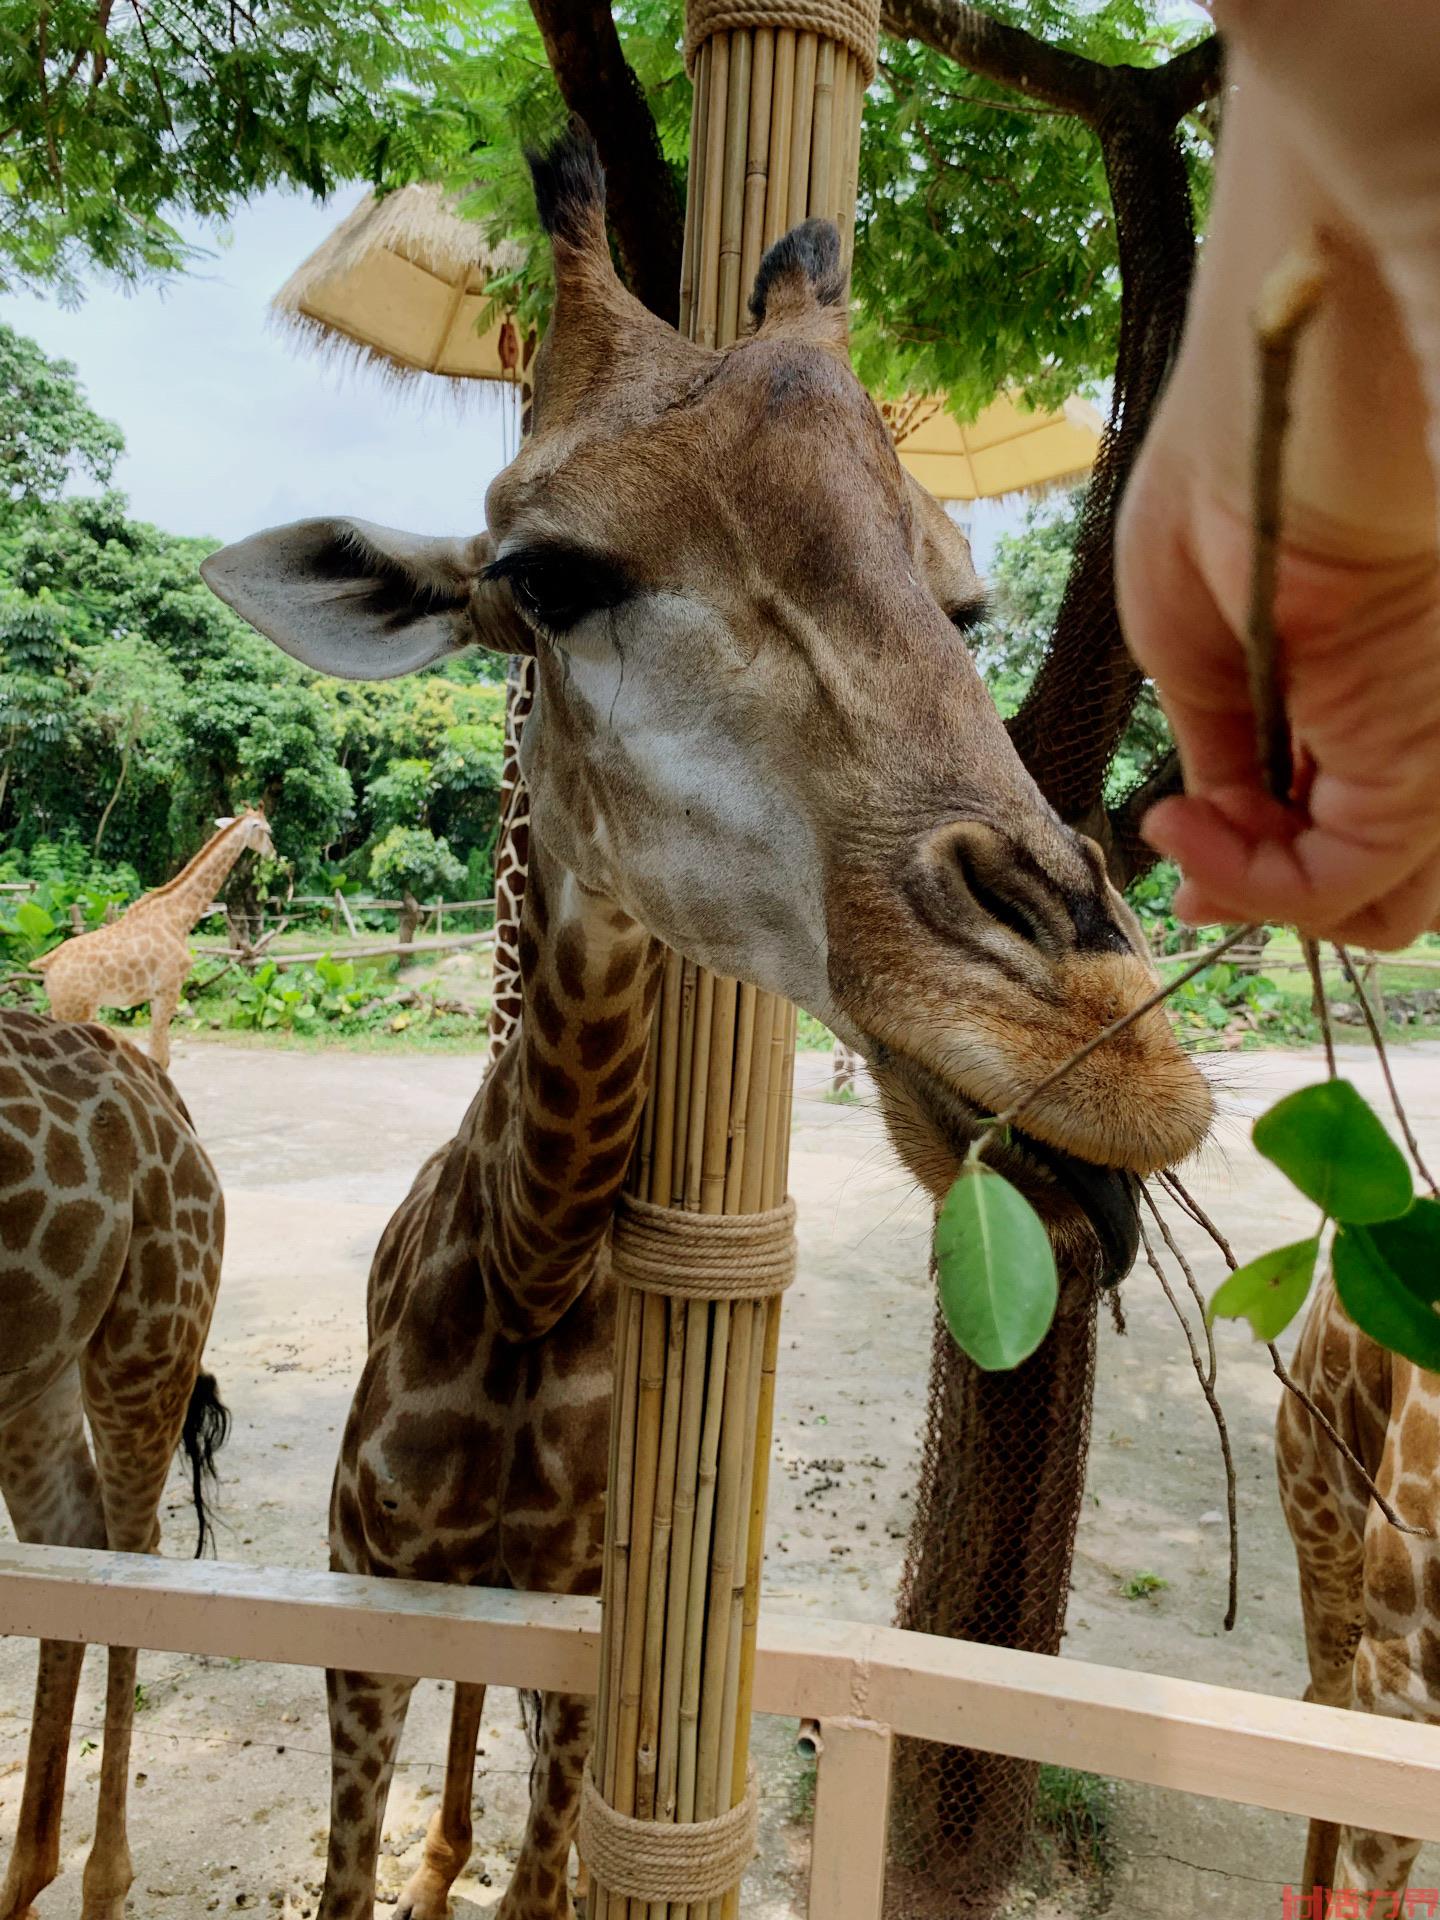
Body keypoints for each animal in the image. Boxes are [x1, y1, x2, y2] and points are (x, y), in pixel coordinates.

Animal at [0, 1013, 228, 1912]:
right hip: (43, 1366)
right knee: (69, 1544)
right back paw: (26, 1876)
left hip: (148, 1331)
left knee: (131, 1556)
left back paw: (100, 1881)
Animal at [35, 810, 278, 1075]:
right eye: (267, 830)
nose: (273, 853)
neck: (179, 918)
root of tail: (47, 961)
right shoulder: (168, 989)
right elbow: (160, 1058)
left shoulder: (156, 995)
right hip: (75, 1008)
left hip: (65, 1006)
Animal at [205, 127, 1221, 1912]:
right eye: (545, 578)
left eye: (961, 609)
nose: (1113, 1053)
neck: (533, 1267)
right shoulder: (361, 1607)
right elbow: (341, 1873)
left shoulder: (580, 1631)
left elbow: (551, 1875)